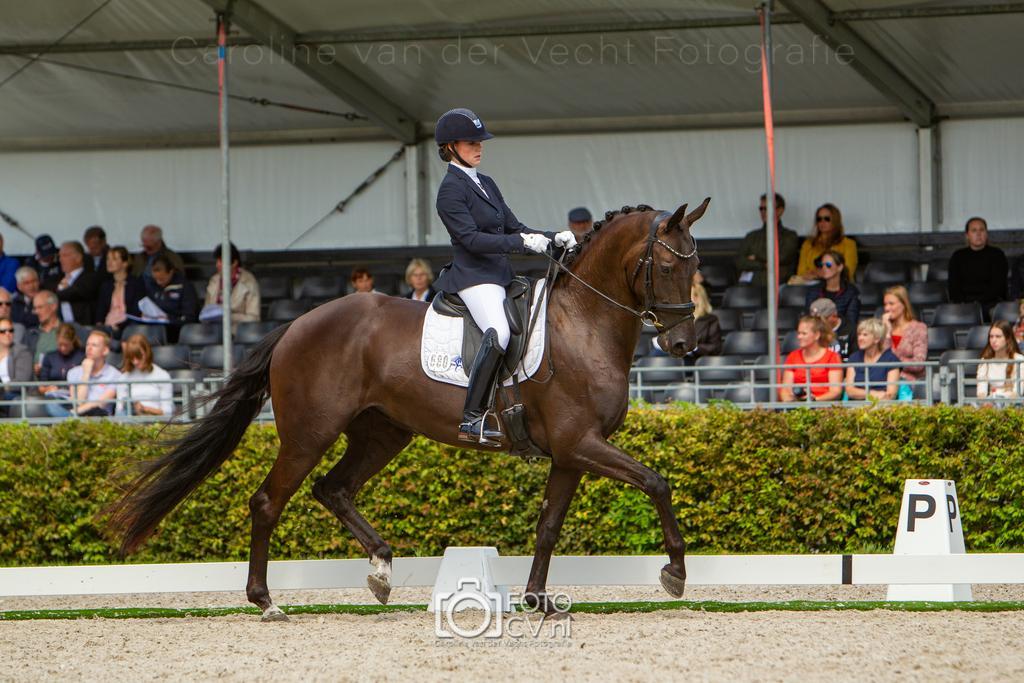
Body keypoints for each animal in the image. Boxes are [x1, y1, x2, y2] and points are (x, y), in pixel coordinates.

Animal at [108, 198, 711, 620]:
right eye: (664, 265)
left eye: (697, 265)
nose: (683, 344)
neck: (582, 323)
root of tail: (296, 324)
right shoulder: (581, 444)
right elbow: (657, 482)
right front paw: (675, 572)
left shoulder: (569, 453)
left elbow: (548, 526)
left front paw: (538, 599)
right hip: (309, 434)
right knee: (268, 502)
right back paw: (266, 601)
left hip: (382, 433)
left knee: (334, 488)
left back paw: (380, 568)